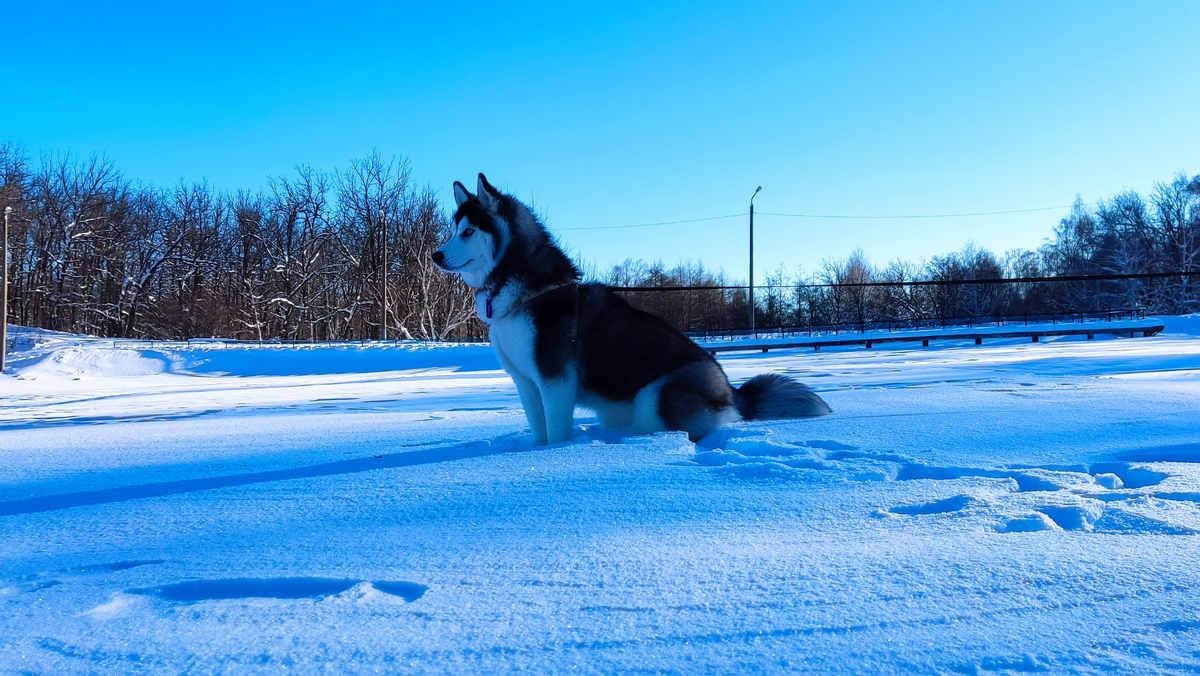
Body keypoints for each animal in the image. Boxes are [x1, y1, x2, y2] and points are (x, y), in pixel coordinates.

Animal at [434, 176, 835, 444]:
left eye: (469, 232)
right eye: (453, 230)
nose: (435, 255)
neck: (524, 290)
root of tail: (734, 392)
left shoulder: (555, 380)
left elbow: (557, 436)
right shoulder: (526, 383)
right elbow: (540, 432)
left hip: (655, 398)